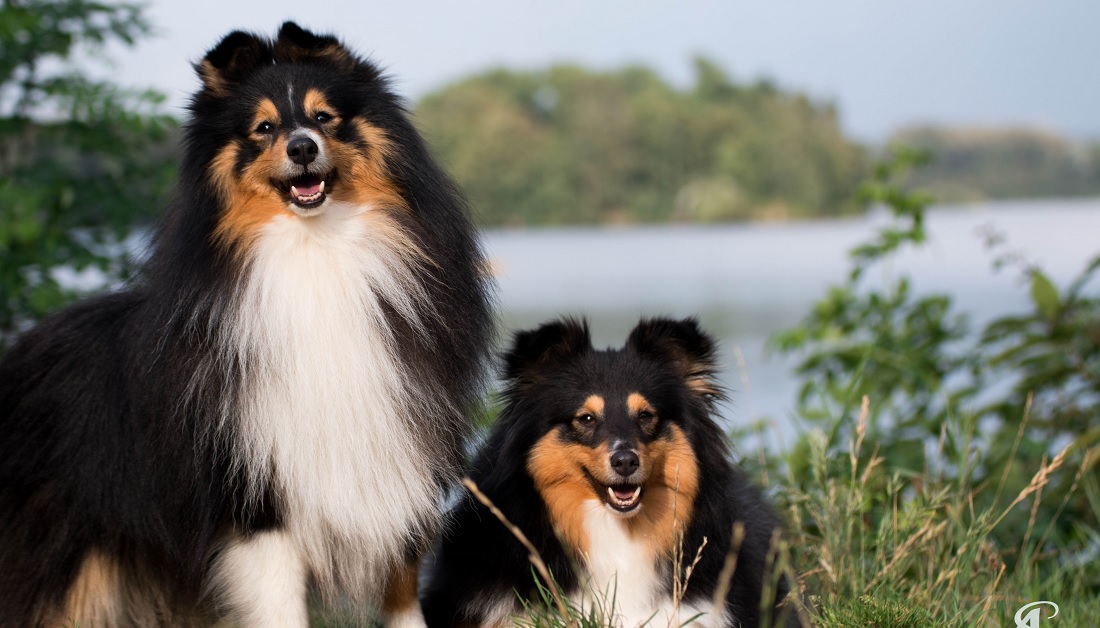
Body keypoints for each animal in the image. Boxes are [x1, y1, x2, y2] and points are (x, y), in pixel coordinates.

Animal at [0, 20, 492, 628]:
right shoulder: (256, 502)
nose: (302, 147)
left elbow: (403, 595)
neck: (315, 254)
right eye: (264, 128)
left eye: (324, 117)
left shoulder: (397, 467)